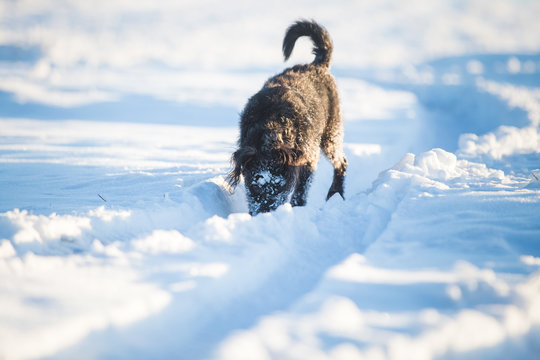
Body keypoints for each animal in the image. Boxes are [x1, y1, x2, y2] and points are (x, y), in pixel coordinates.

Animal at [227, 19, 346, 215]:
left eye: (279, 187)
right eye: (254, 185)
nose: (264, 213)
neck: (270, 124)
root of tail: (317, 66)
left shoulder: (307, 159)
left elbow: (301, 189)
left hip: (331, 134)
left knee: (341, 162)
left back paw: (336, 193)